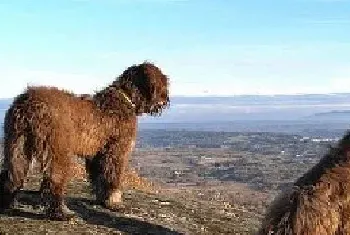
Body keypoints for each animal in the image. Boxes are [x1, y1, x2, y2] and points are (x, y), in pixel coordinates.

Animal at [0, 62, 170, 220]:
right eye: (163, 81)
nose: (167, 99)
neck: (125, 98)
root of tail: (28, 102)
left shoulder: (97, 154)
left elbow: (100, 177)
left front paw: (103, 199)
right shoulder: (116, 150)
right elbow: (113, 177)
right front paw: (114, 201)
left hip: (17, 143)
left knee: (11, 174)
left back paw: (6, 203)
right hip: (56, 149)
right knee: (54, 179)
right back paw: (60, 212)